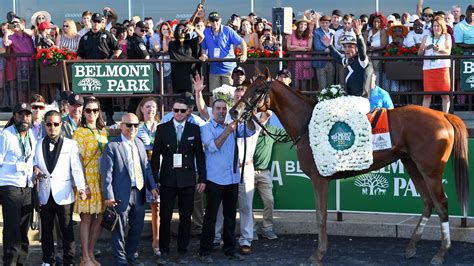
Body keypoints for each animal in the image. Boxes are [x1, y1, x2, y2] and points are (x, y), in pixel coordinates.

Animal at [231, 70, 470, 264]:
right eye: (247, 87)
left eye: (258, 89)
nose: (235, 111)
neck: (306, 123)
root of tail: (443, 115)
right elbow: (321, 214)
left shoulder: (319, 179)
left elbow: (321, 215)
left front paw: (319, 254)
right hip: (412, 165)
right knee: (428, 203)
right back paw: (411, 247)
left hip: (431, 171)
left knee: (441, 204)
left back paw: (440, 252)